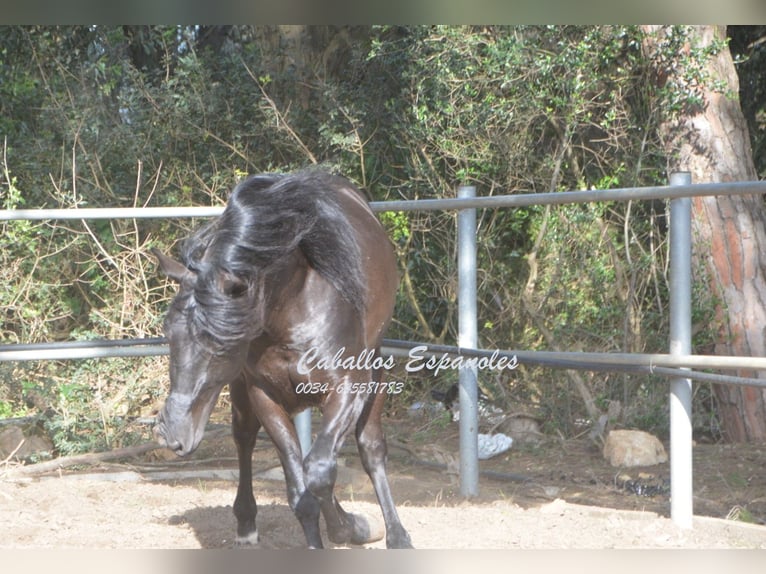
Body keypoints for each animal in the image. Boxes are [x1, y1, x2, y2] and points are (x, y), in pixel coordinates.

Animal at [152, 169, 414, 552]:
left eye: (220, 341)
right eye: (169, 332)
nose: (171, 433)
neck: (293, 311)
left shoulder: (349, 387)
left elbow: (319, 471)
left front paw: (351, 527)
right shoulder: (264, 395)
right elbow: (301, 490)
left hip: (373, 374)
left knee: (369, 448)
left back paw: (396, 535)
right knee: (246, 439)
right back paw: (246, 524)